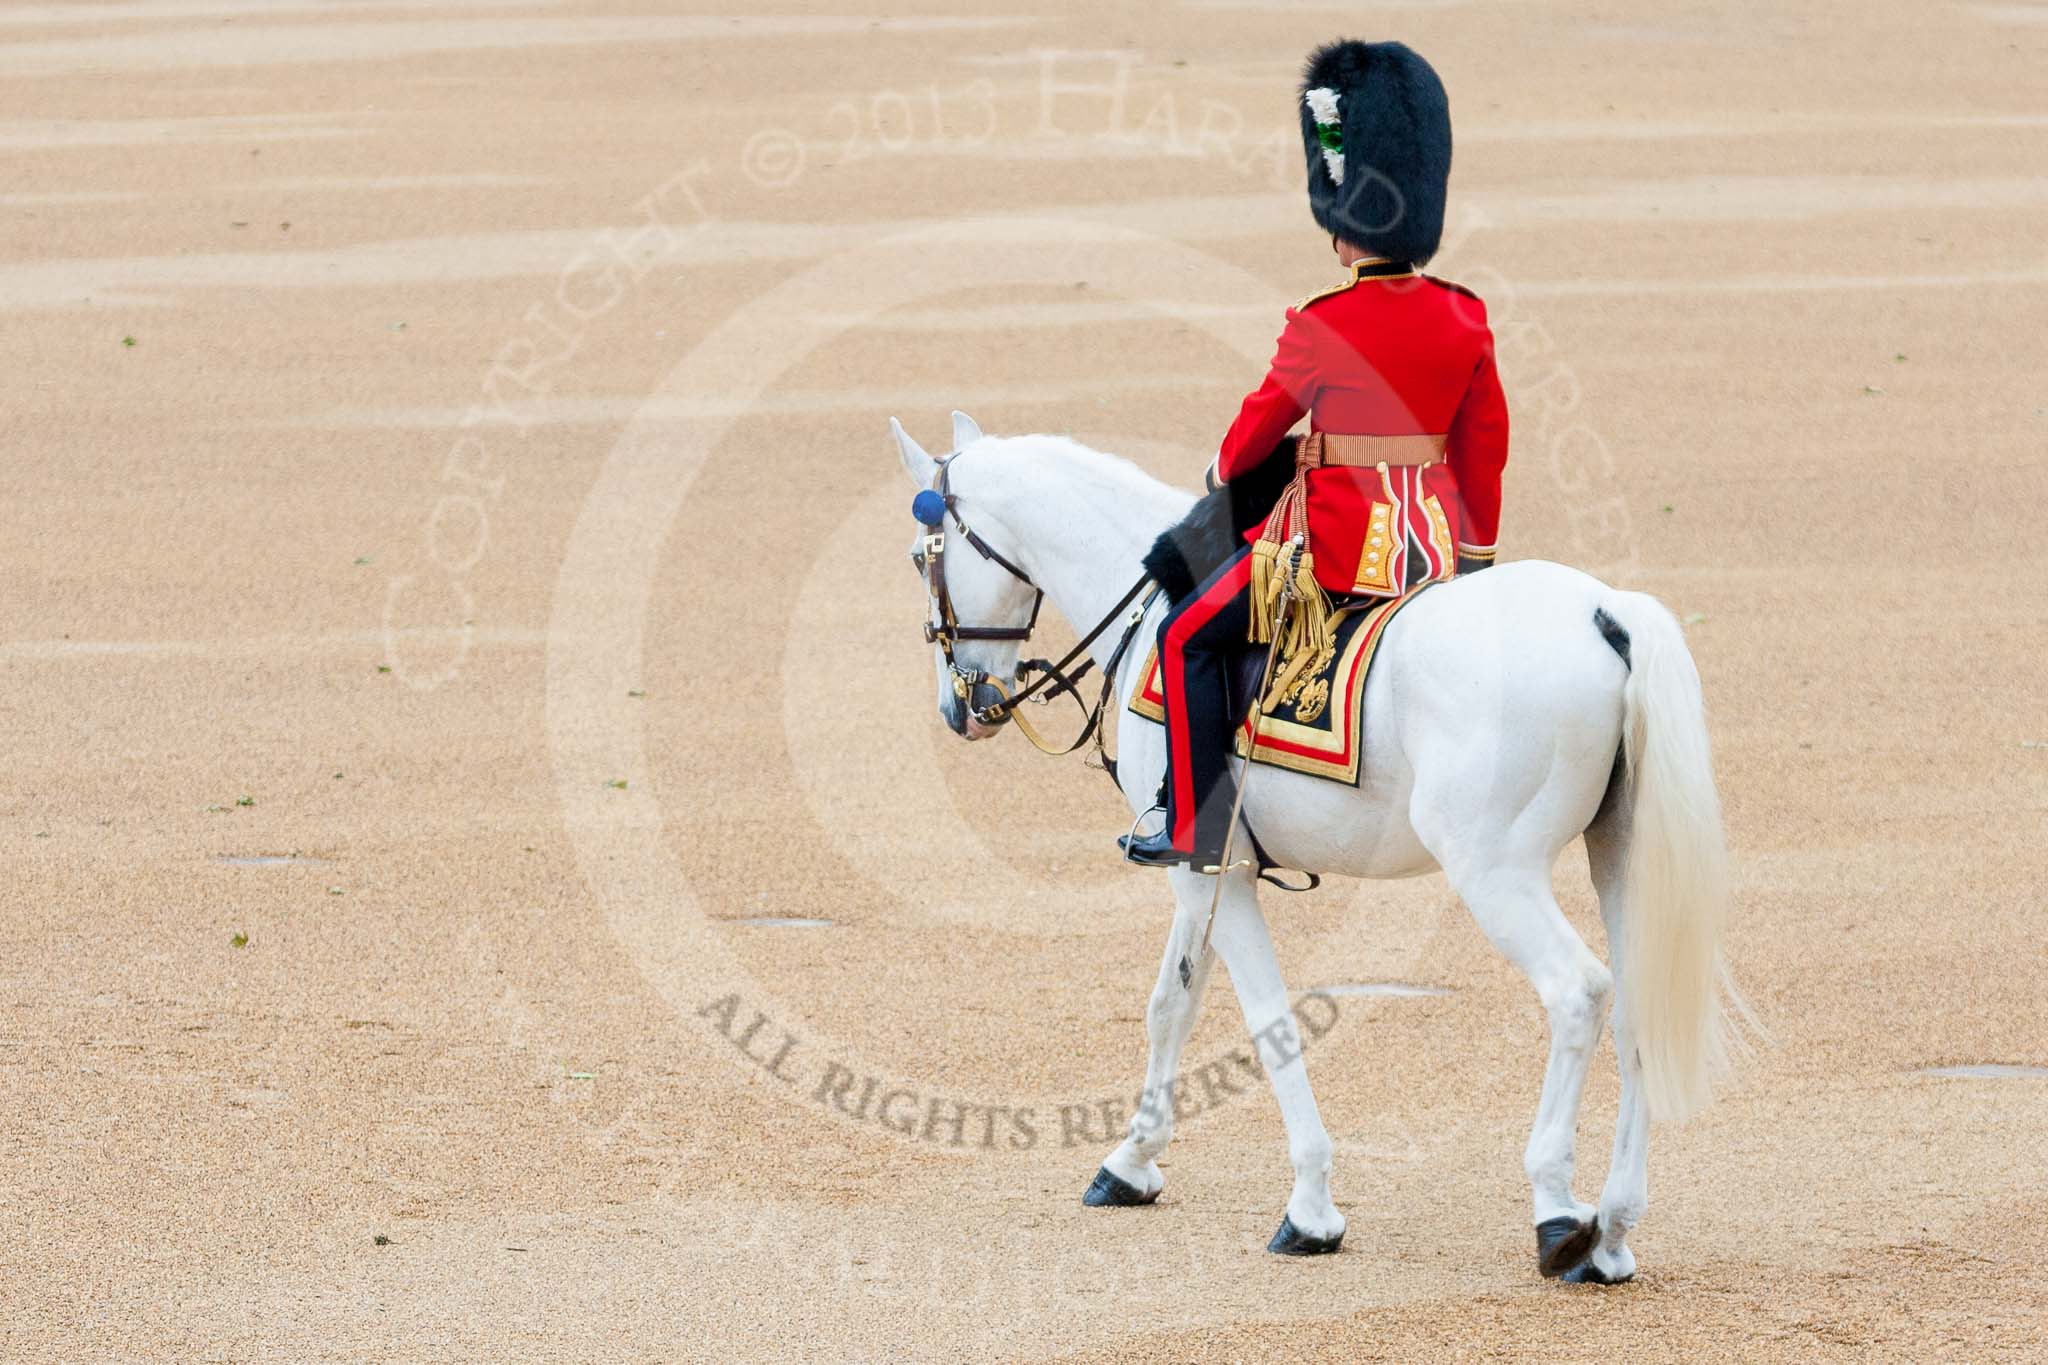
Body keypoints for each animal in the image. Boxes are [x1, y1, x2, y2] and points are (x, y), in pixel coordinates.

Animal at [891, 410, 1742, 1285]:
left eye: (923, 557)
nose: (964, 707)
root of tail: (1605, 610)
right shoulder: (1197, 865)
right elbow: (1171, 1004)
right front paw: (1131, 1160)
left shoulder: (1216, 871)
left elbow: (1266, 1020)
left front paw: (1310, 1207)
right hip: (1620, 859)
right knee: (1636, 1007)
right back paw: (1612, 1229)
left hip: (1494, 871)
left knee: (1577, 992)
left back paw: (1558, 1211)